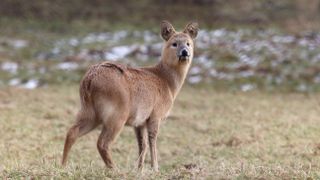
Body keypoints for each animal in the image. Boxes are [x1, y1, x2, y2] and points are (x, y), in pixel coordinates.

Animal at [61, 20, 199, 171]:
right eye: (174, 43)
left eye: (188, 43)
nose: (185, 52)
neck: (167, 82)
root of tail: (89, 79)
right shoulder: (155, 114)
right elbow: (152, 141)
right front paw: (155, 168)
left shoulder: (139, 122)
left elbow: (142, 145)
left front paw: (139, 169)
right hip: (116, 113)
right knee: (102, 143)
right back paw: (114, 169)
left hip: (89, 111)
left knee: (72, 132)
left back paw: (63, 165)